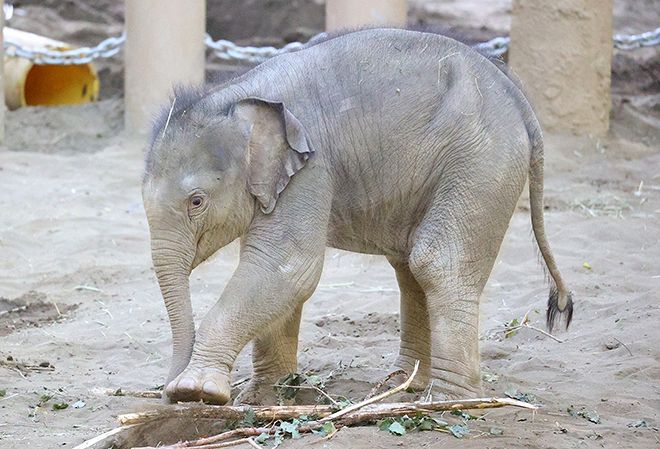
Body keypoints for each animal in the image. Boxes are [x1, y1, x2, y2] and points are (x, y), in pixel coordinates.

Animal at [141, 28, 572, 406]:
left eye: (196, 201)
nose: (166, 394)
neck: (237, 94)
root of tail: (515, 92)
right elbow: (274, 271)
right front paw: (263, 397)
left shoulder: (312, 168)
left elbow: (287, 267)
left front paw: (196, 392)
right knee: (411, 267)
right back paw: (403, 386)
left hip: (481, 161)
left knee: (437, 261)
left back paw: (448, 402)